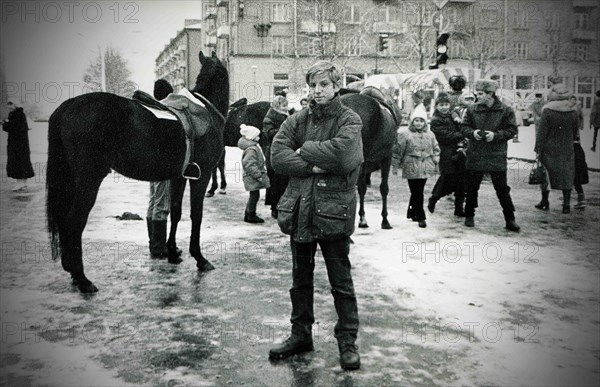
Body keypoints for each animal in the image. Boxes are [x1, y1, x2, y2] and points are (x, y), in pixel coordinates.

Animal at [46, 52, 230, 294]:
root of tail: (68, 105)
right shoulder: (202, 176)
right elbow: (195, 216)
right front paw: (199, 258)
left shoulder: (179, 176)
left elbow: (176, 212)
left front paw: (172, 252)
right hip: (89, 180)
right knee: (73, 221)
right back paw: (82, 278)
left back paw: (74, 274)